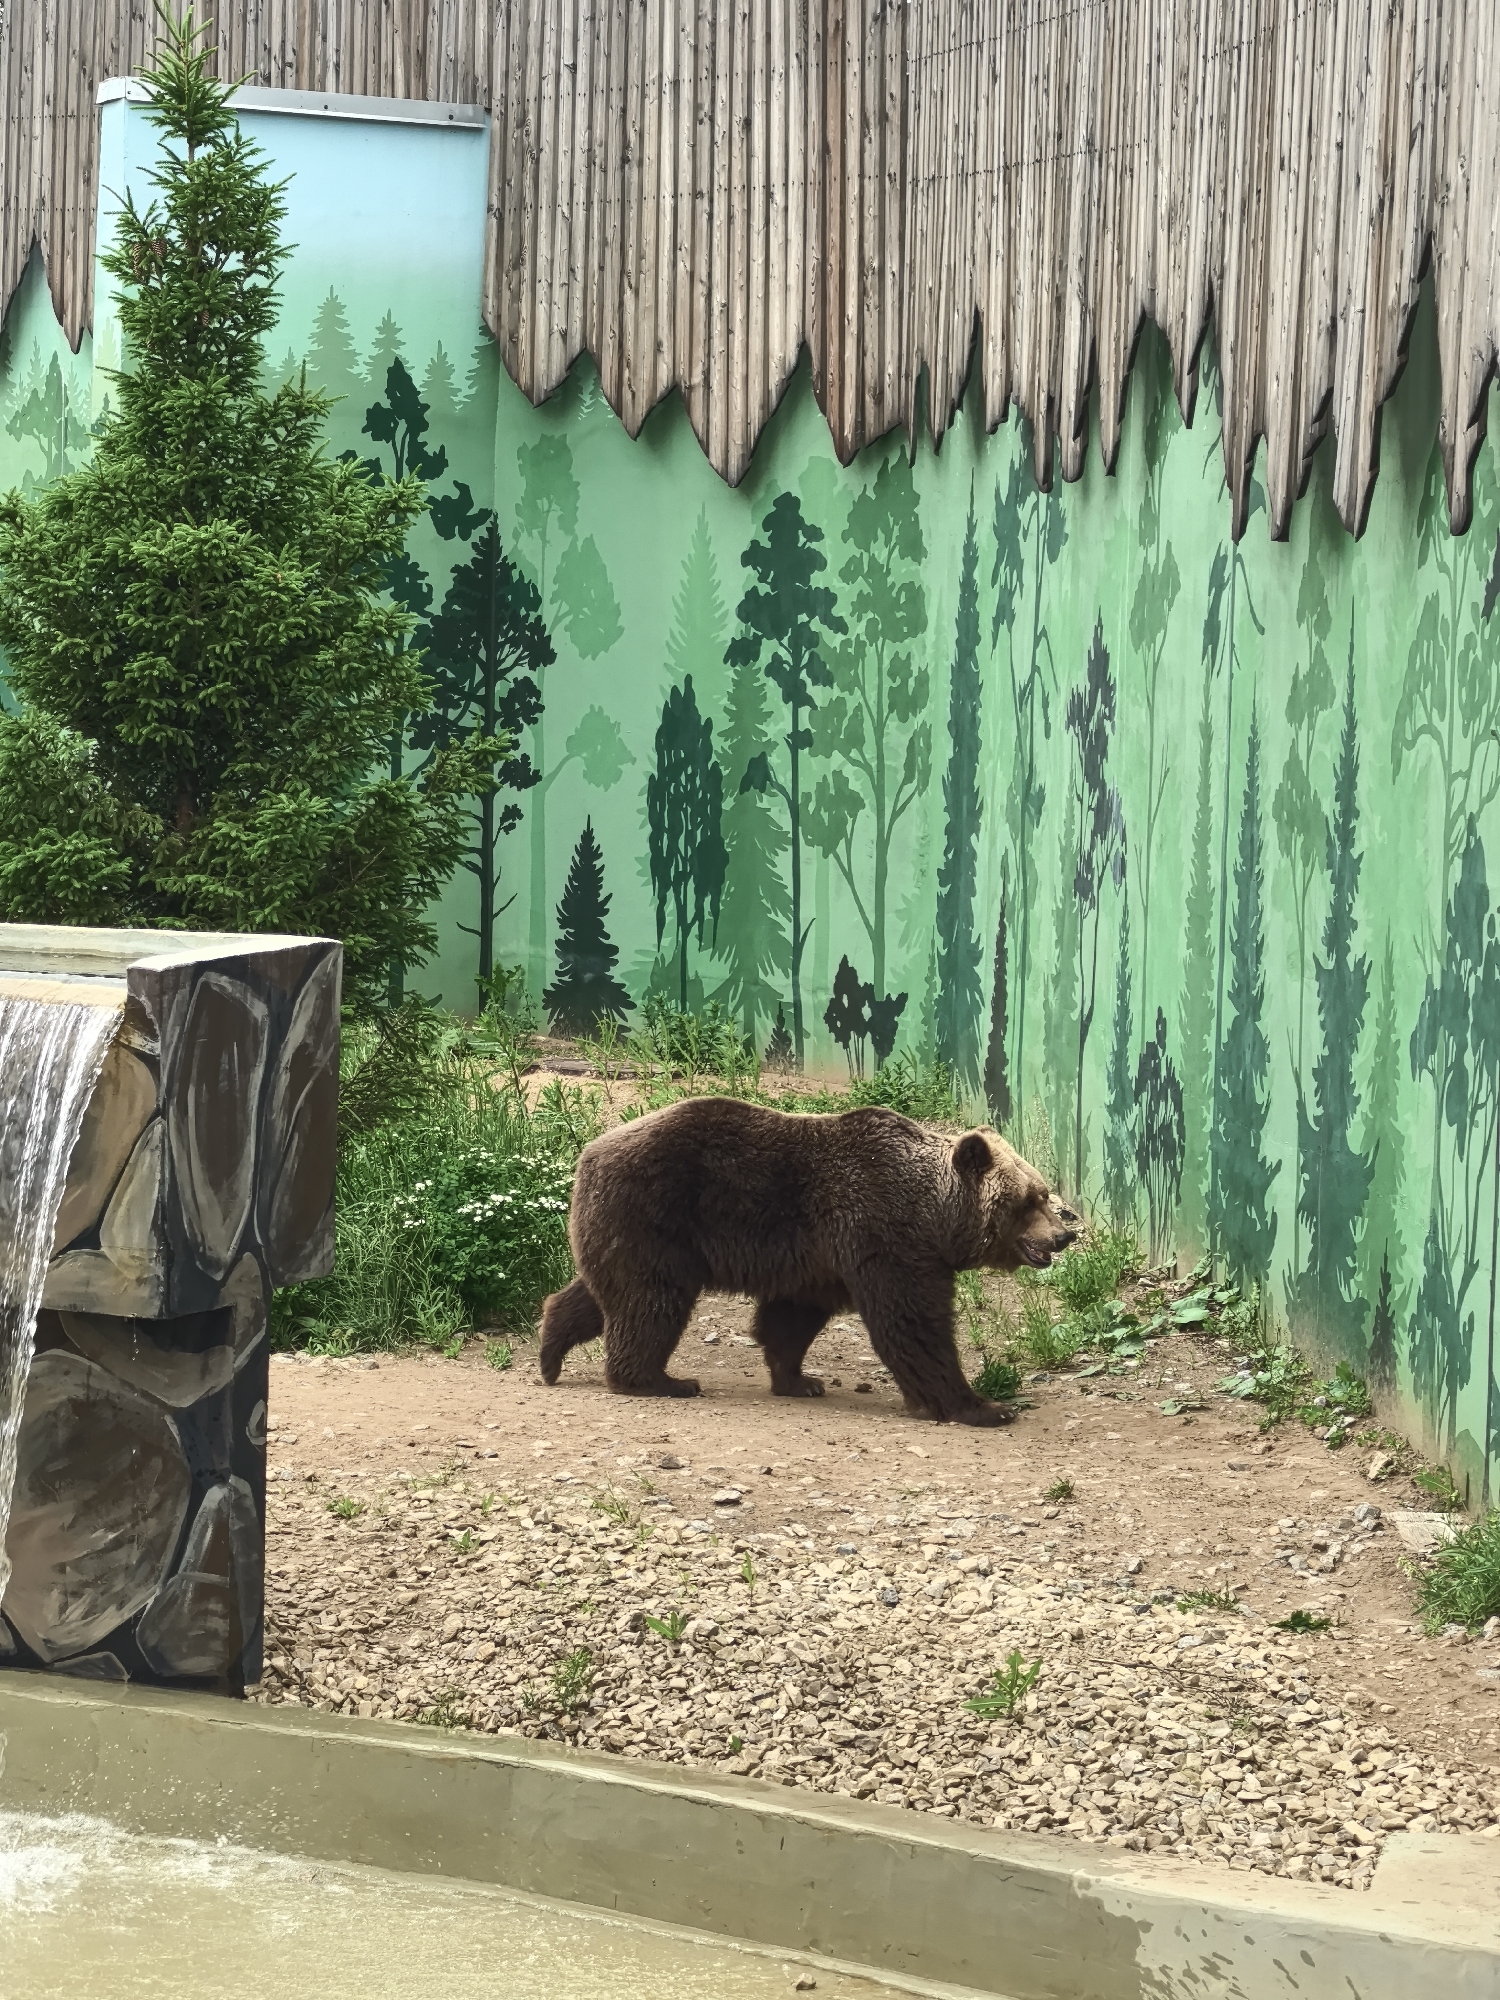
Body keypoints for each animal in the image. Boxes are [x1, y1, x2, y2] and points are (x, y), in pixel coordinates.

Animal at [538, 1095, 1078, 1425]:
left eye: (1044, 1193)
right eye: (1029, 1200)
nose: (1062, 1236)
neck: (933, 1215)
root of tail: (588, 1152)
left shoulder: (818, 1258)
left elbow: (791, 1319)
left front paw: (800, 1380)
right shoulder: (883, 1234)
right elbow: (912, 1325)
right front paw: (980, 1405)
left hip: (630, 1228)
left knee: (605, 1292)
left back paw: (550, 1353)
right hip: (658, 1213)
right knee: (649, 1300)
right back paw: (660, 1380)